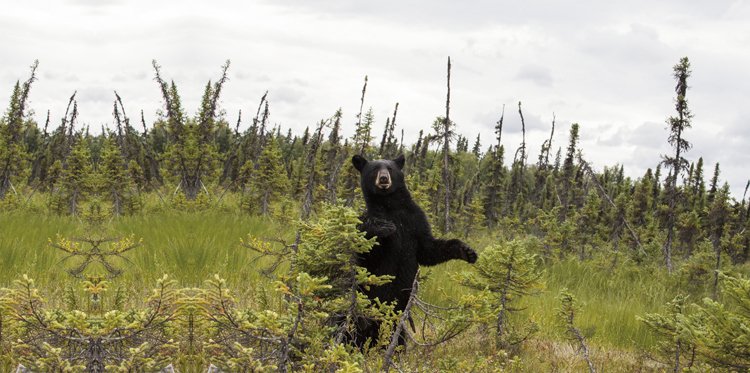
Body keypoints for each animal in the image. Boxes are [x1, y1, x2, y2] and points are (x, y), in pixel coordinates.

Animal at [352, 153, 476, 346]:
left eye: (390, 169)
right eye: (374, 169)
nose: (383, 178)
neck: (390, 206)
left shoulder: (416, 220)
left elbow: (429, 250)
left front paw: (467, 251)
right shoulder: (368, 222)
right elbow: (366, 251)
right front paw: (384, 227)